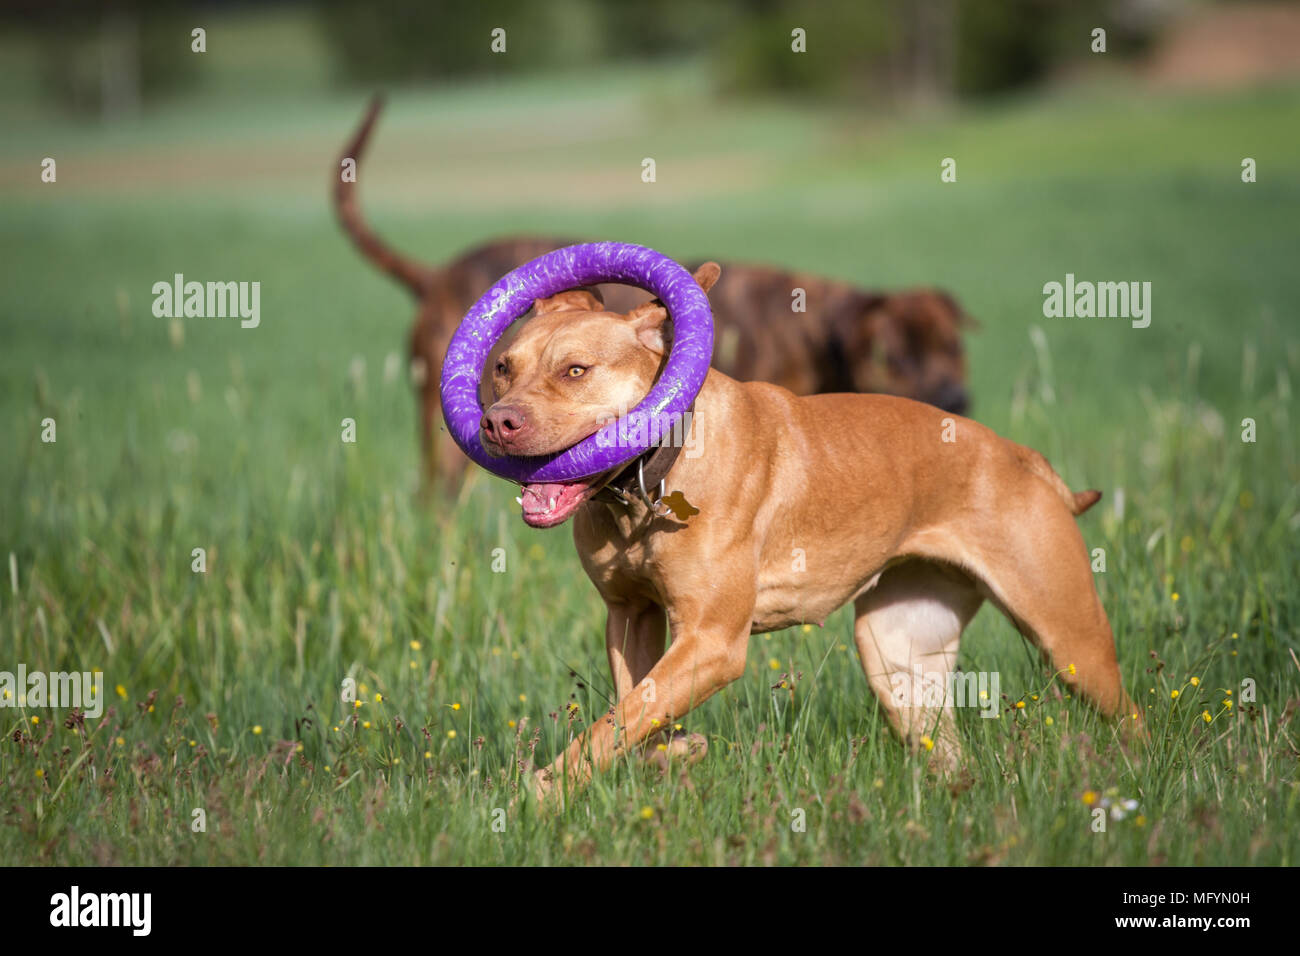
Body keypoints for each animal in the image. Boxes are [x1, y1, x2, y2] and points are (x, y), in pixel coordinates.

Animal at [335, 98, 977, 486]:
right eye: (895, 357)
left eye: (956, 348)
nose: (959, 398)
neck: (818, 329)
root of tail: (438, 275)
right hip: (441, 441)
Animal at [478, 265, 1138, 806]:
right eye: (503, 368)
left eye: (575, 371)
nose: (496, 421)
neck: (649, 479)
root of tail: (1027, 460)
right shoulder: (630, 616)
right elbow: (633, 712)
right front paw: (675, 751)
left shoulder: (712, 642)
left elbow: (622, 719)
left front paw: (546, 789)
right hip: (899, 656)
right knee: (943, 745)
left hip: (1068, 637)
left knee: (1129, 716)